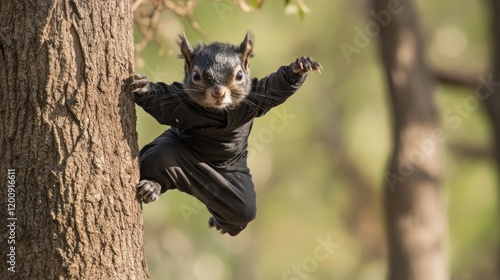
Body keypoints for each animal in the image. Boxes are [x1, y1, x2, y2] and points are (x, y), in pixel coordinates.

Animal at [131, 31, 322, 235]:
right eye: (196, 75)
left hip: (233, 188)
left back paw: (219, 223)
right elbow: (160, 102)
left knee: (241, 211)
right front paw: (144, 88)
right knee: (158, 158)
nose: (218, 92)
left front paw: (299, 67)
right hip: (168, 152)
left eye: (239, 75)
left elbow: (276, 87)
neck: (219, 112)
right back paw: (151, 186)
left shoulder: (257, 96)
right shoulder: (177, 102)